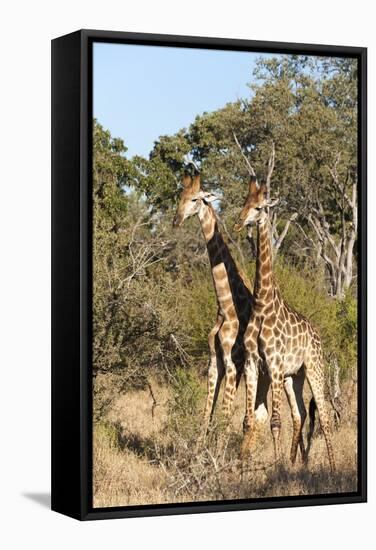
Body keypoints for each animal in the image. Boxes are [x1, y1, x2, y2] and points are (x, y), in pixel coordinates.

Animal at [235, 177, 334, 474]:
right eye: (244, 203)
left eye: (258, 207)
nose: (239, 222)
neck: (262, 305)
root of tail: (318, 333)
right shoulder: (253, 363)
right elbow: (248, 420)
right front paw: (242, 469)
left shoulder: (275, 366)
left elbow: (275, 422)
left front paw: (277, 468)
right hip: (294, 377)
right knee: (300, 413)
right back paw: (295, 463)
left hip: (314, 367)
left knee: (325, 416)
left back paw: (331, 467)